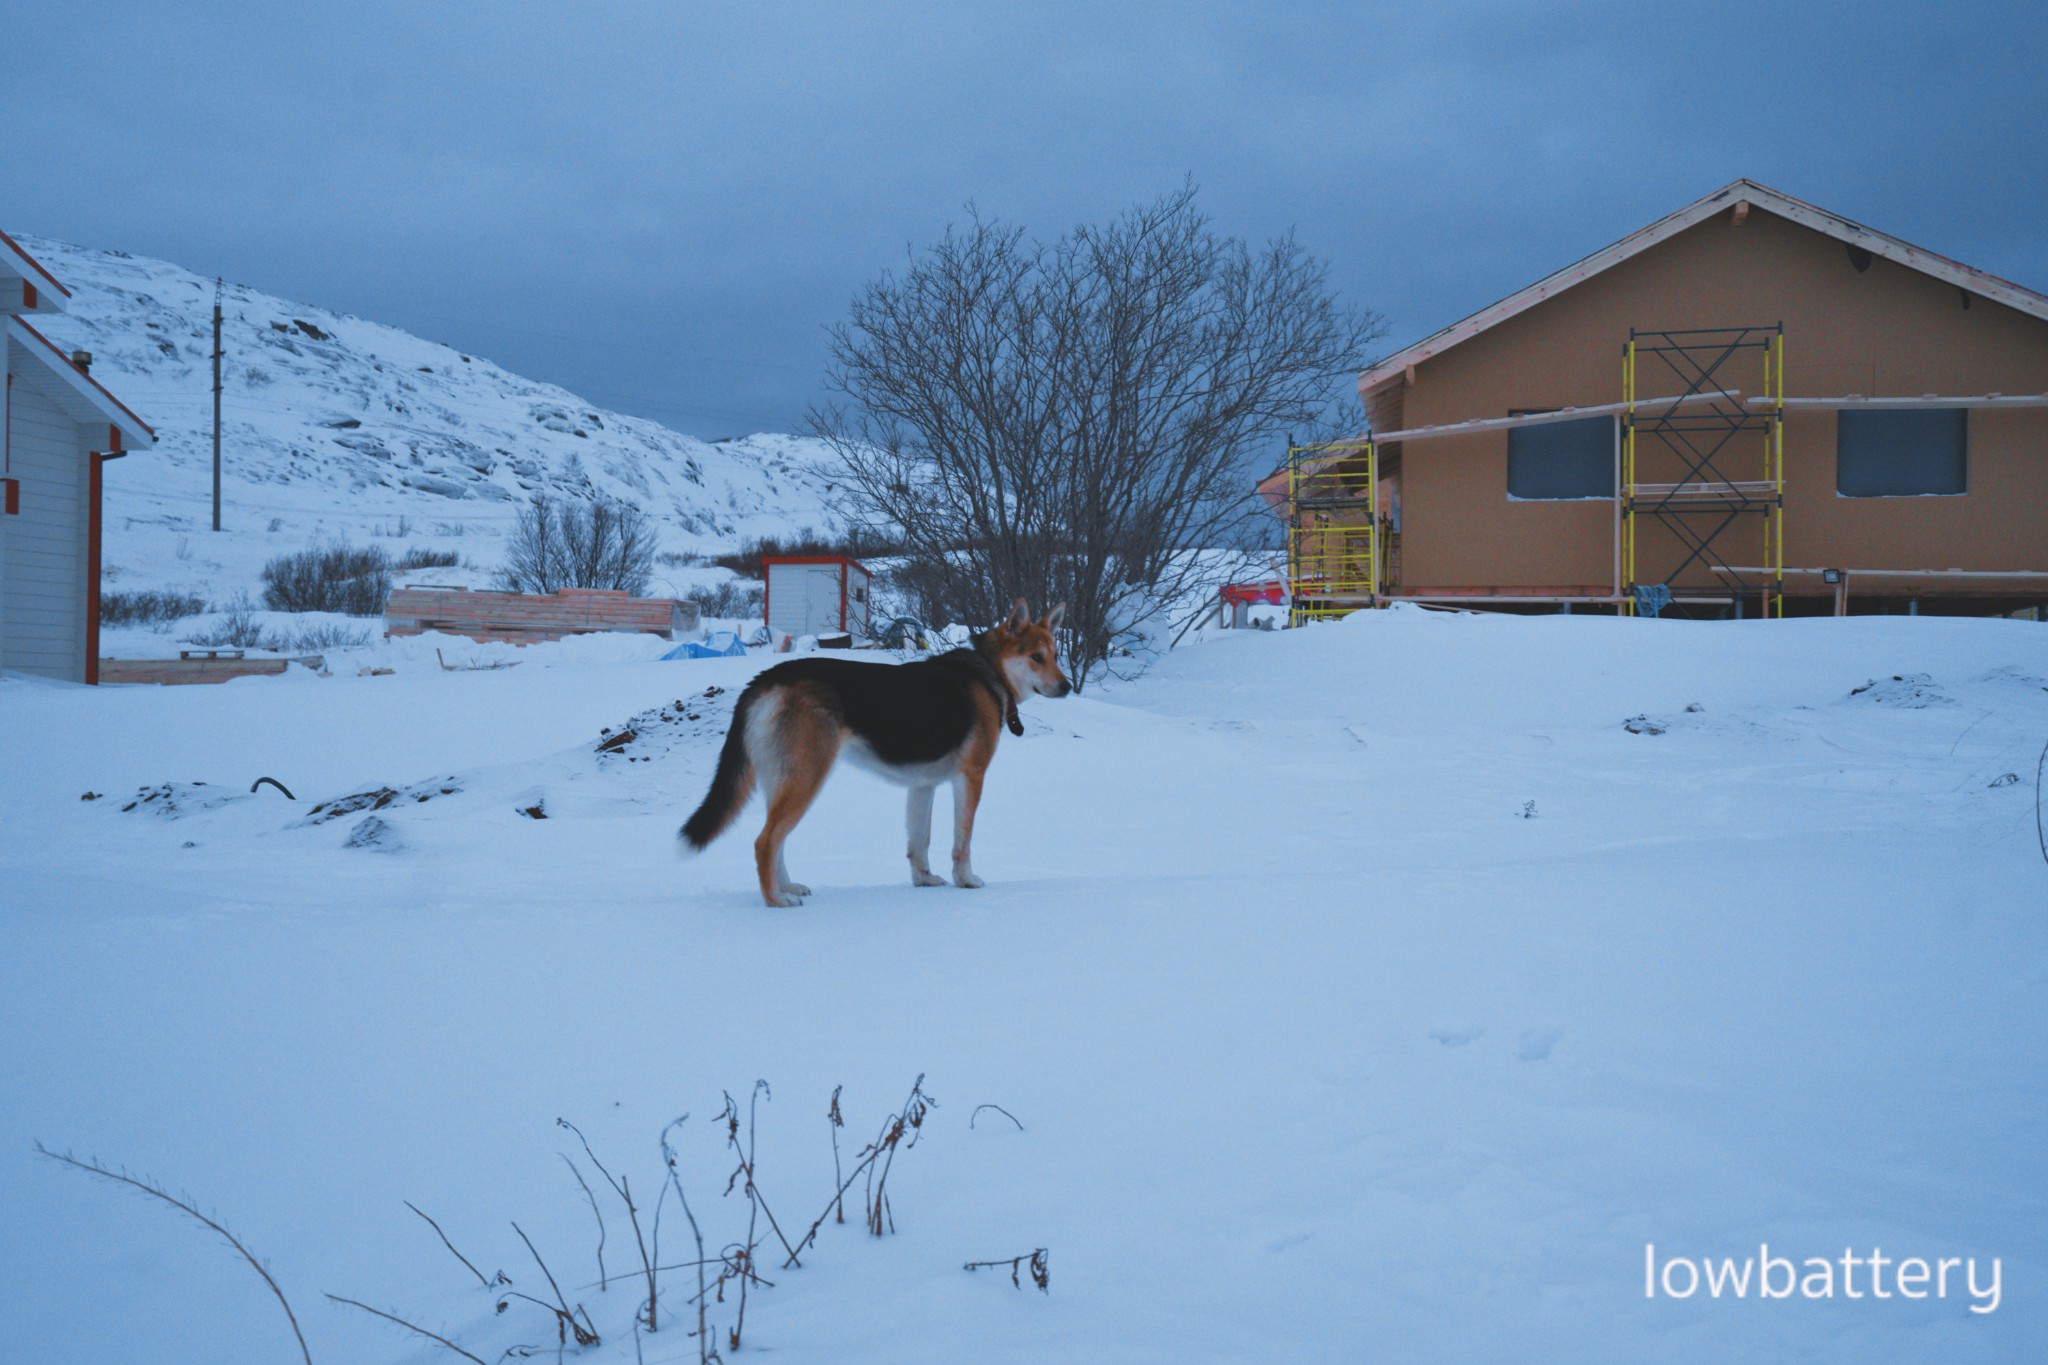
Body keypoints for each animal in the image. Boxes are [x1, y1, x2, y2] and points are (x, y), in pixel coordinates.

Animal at [684, 601, 1073, 908]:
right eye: (1036, 657)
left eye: (1055, 656)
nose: (1067, 686)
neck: (989, 670)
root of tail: (765, 680)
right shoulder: (971, 777)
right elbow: (961, 843)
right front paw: (966, 881)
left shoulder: (923, 785)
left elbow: (919, 843)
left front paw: (924, 881)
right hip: (807, 778)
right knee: (765, 841)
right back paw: (775, 900)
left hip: (782, 780)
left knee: (776, 840)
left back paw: (787, 887)